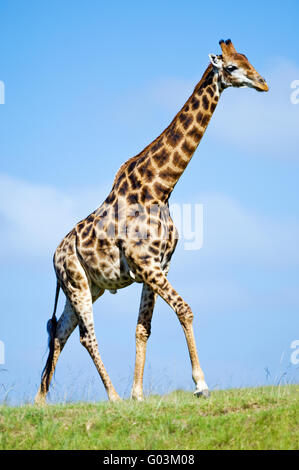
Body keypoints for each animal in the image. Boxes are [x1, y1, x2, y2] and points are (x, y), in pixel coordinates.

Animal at [35, 39, 270, 404]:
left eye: (248, 60)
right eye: (231, 67)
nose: (263, 83)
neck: (160, 188)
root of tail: (53, 259)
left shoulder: (159, 265)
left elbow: (143, 328)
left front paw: (138, 395)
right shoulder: (146, 263)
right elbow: (185, 309)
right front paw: (200, 385)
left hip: (89, 285)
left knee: (59, 331)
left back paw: (41, 402)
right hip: (76, 282)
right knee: (86, 336)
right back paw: (112, 397)